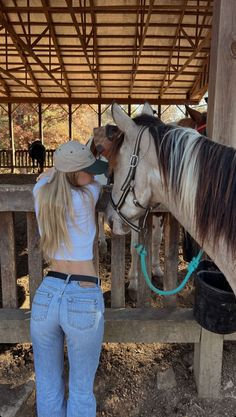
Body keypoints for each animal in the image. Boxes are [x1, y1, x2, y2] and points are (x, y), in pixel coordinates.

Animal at [93, 101, 236, 296]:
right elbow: (135, 247)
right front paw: (134, 282)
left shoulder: (159, 213)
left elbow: (156, 239)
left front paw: (156, 270)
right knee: (99, 219)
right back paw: (101, 243)